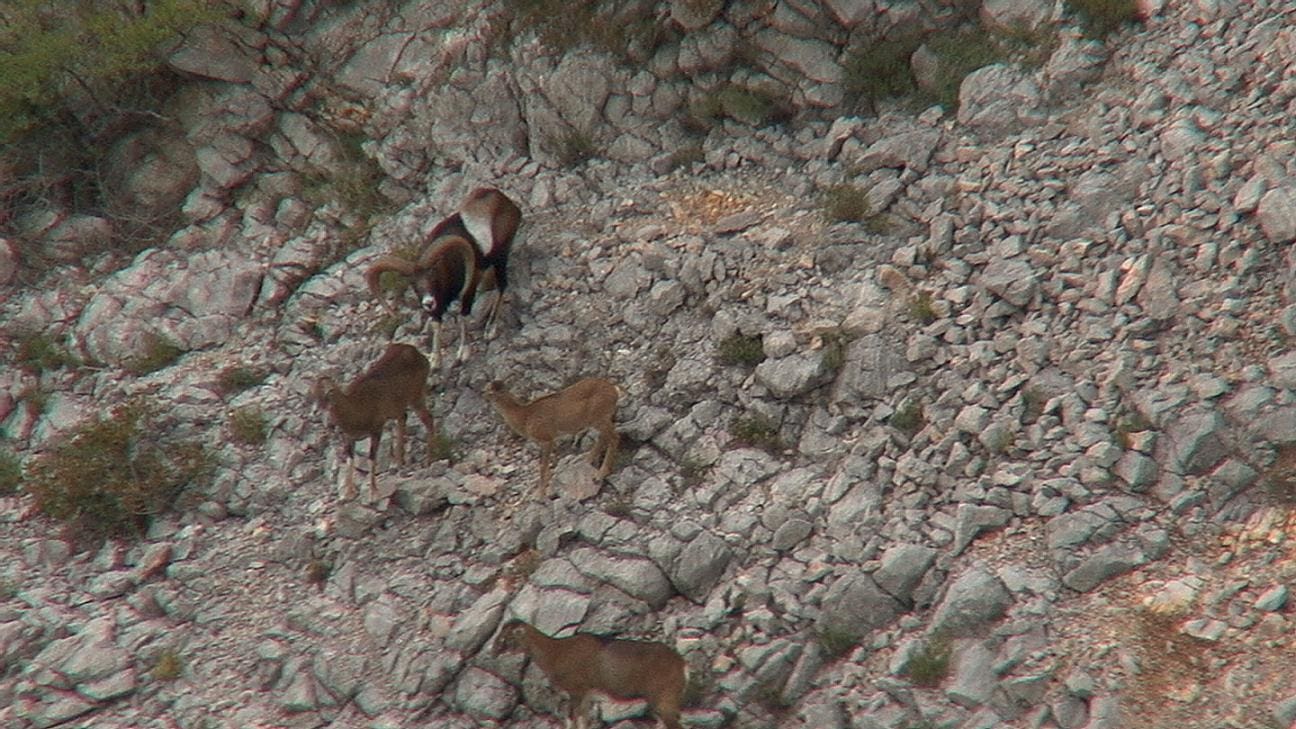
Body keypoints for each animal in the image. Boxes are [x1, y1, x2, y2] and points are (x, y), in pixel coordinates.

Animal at [311, 343, 435, 502]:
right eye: (313, 394)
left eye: (328, 393)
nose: (315, 411)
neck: (357, 408)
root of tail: (416, 353)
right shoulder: (349, 438)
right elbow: (350, 461)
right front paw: (348, 494)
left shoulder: (376, 431)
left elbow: (371, 458)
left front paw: (373, 494)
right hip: (399, 408)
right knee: (403, 419)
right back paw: (398, 465)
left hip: (416, 399)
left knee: (428, 421)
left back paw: (428, 461)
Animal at [365, 186, 521, 366]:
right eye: (413, 284)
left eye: (433, 275)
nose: (428, 302)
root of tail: (503, 200)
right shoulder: (438, 307)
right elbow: (436, 325)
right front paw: (435, 362)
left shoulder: (469, 286)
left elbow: (463, 315)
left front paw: (463, 353)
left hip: (501, 258)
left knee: (502, 286)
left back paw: (490, 330)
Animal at [482, 378, 619, 498]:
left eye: (490, 391)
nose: (482, 394)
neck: (525, 417)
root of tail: (614, 391)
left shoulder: (547, 440)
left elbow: (543, 466)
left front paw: (539, 495)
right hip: (598, 421)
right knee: (603, 438)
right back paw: (585, 461)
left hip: (600, 419)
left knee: (614, 438)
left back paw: (599, 475)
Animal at [494, 620, 687, 729]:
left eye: (506, 637)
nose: (494, 650)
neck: (556, 653)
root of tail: (681, 664)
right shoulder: (588, 697)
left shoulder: (577, 693)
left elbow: (573, 722)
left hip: (664, 701)